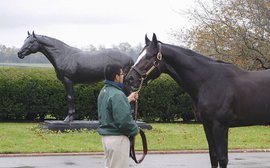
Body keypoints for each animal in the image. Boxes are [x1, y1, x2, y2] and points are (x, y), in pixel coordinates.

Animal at [125, 33, 270, 167]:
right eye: (140, 54)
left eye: (149, 56)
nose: (129, 78)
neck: (209, 81)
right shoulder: (207, 125)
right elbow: (214, 157)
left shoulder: (220, 126)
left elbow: (223, 158)